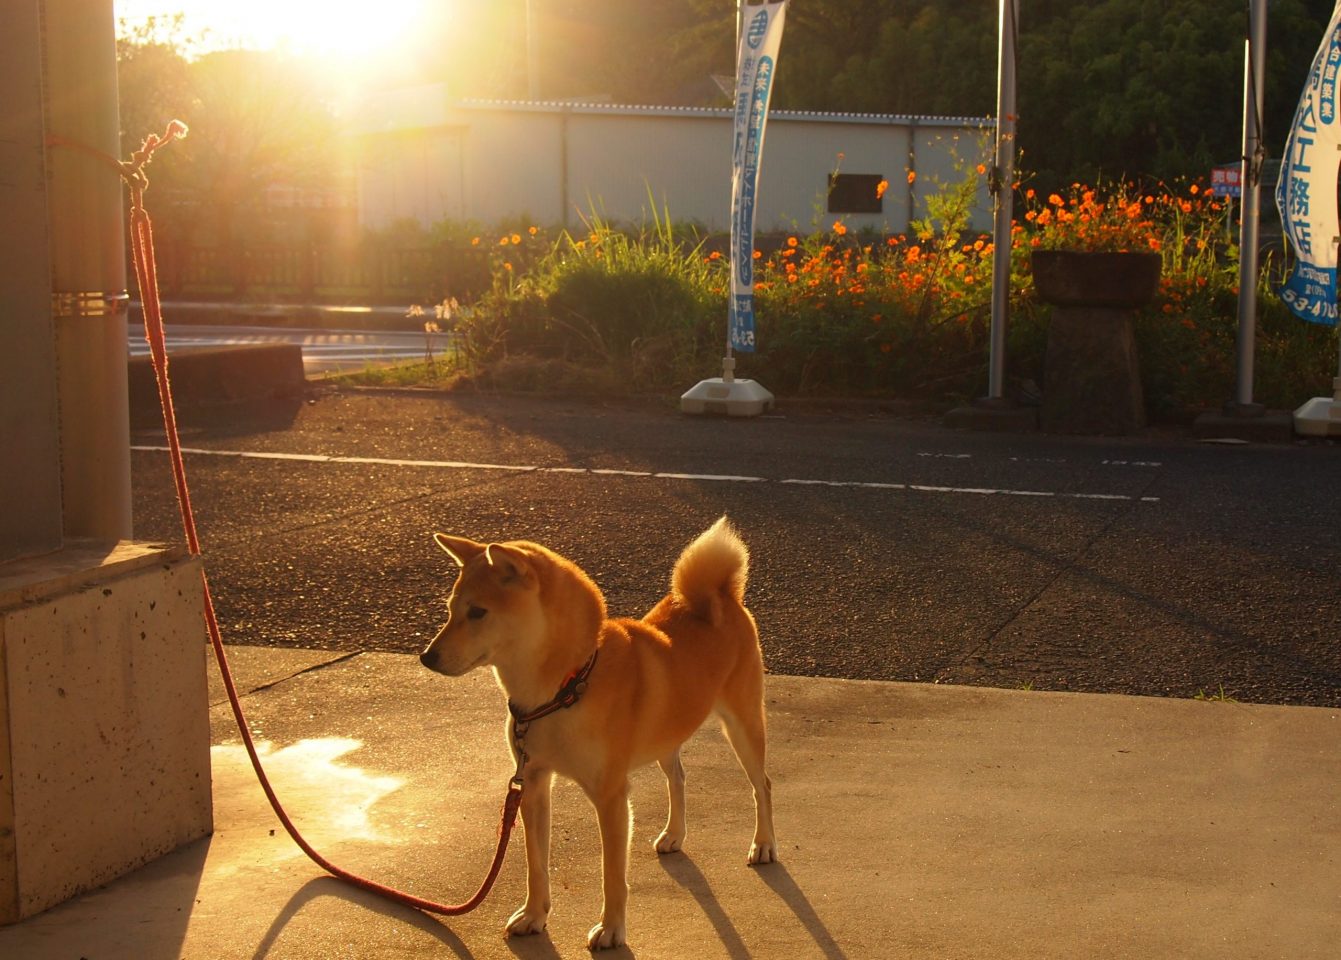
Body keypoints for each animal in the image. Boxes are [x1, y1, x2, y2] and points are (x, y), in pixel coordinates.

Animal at [418, 514, 777, 949]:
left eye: (477, 612)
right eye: (451, 610)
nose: (427, 657)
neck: (565, 689)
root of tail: (721, 597)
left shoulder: (611, 796)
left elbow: (612, 876)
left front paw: (611, 929)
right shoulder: (533, 783)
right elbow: (536, 864)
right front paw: (534, 916)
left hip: (743, 726)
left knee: (762, 786)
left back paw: (764, 843)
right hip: (666, 738)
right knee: (678, 777)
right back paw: (674, 834)